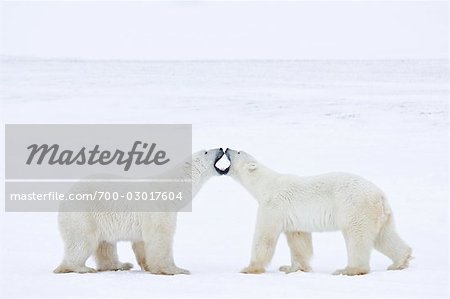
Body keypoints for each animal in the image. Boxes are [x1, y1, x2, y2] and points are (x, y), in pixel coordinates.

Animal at [54, 149, 227, 276]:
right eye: (206, 151)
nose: (220, 148)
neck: (171, 189)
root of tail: (64, 199)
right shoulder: (159, 210)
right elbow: (160, 238)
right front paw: (176, 270)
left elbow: (141, 242)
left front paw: (147, 265)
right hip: (84, 214)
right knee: (82, 241)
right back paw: (80, 267)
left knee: (106, 245)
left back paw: (120, 265)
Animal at [224, 149, 412, 276]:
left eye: (238, 151)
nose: (226, 149)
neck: (265, 185)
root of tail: (380, 196)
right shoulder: (293, 217)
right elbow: (299, 240)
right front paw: (292, 268)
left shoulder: (273, 206)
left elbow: (264, 237)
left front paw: (249, 268)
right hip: (378, 214)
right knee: (384, 236)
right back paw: (400, 261)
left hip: (355, 207)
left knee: (357, 237)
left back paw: (349, 269)